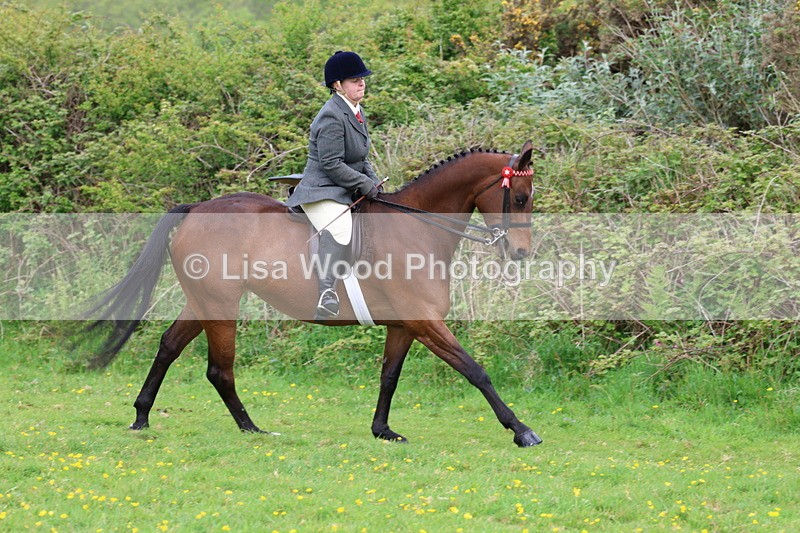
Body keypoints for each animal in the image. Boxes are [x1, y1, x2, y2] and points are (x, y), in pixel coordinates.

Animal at [86, 141, 542, 447]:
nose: (520, 253)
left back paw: (142, 416)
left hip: (202, 303)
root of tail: (197, 209)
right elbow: (474, 370)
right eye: (520, 198)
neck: (418, 228)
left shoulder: (404, 324)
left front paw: (382, 430)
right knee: (219, 369)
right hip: (220, 303)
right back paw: (251, 428)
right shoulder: (424, 320)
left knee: (168, 346)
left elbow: (389, 376)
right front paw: (521, 430)